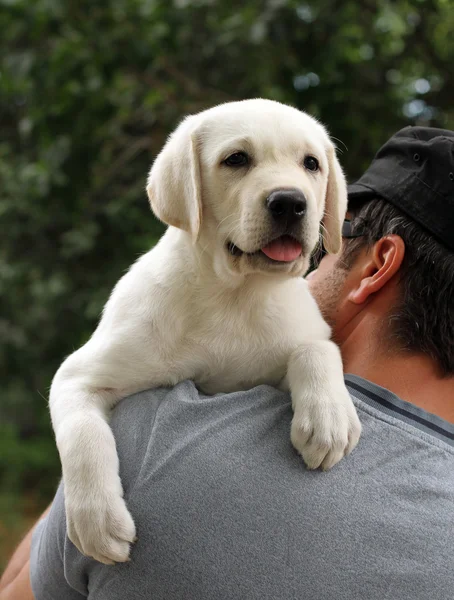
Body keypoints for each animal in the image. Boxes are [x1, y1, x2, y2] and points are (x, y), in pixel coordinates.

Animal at [49, 98, 362, 564]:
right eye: (236, 160)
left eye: (311, 164)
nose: (290, 202)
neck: (233, 297)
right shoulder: (79, 374)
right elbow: (83, 437)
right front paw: (96, 520)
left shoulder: (298, 336)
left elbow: (317, 350)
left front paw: (329, 417)